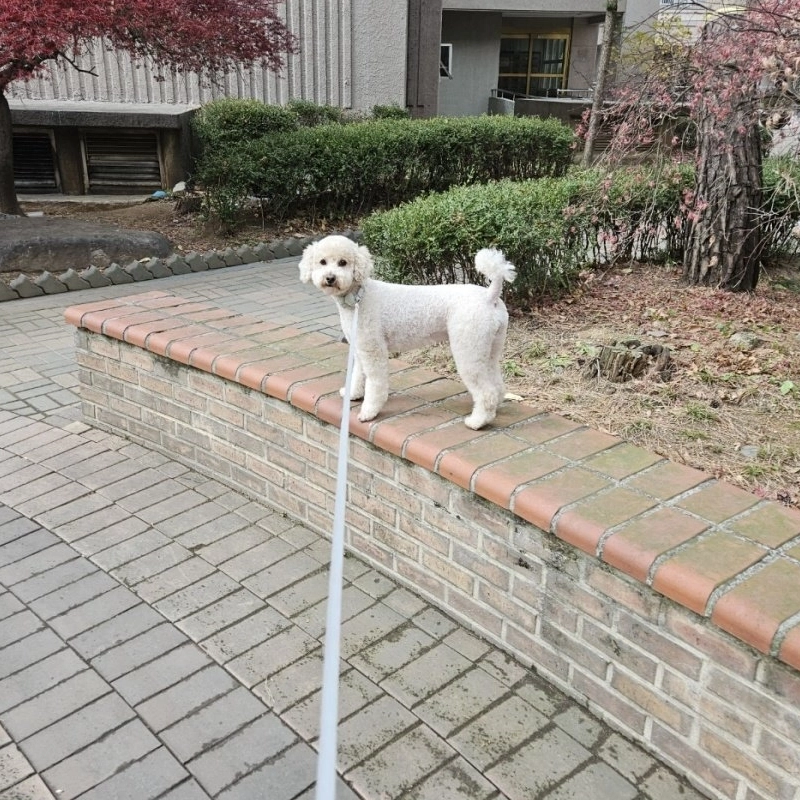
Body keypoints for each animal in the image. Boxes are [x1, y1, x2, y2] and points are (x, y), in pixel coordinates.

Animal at [296, 234, 516, 428]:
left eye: (343, 262)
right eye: (322, 262)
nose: (330, 278)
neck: (358, 296)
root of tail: (489, 296)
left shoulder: (373, 349)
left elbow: (375, 382)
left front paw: (369, 411)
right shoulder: (359, 348)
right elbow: (358, 374)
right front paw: (353, 394)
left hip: (468, 348)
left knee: (485, 391)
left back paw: (478, 421)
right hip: (489, 346)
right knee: (496, 382)